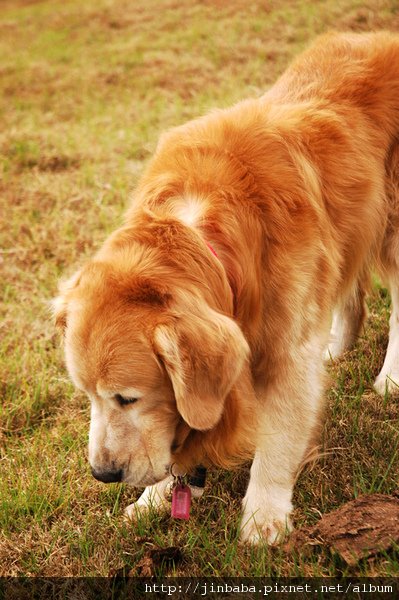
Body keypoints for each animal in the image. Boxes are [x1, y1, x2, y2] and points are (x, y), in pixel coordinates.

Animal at [54, 34, 399, 548]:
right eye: (88, 396)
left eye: (127, 398)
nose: (103, 474)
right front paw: (154, 499)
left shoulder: (285, 351)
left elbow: (277, 439)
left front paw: (263, 517)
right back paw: (337, 347)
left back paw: (390, 378)